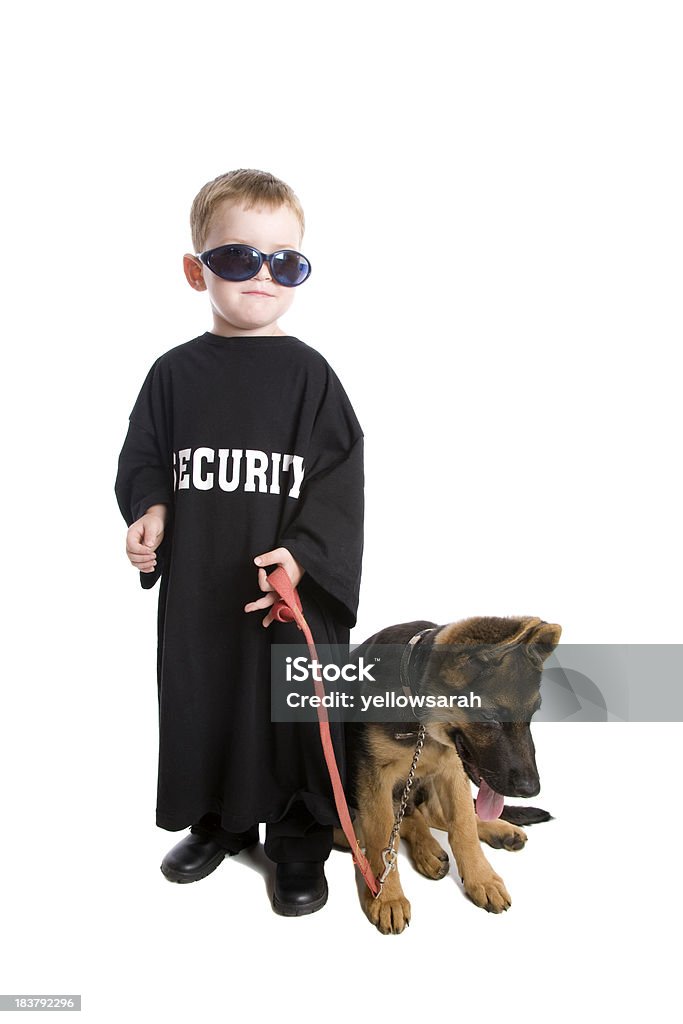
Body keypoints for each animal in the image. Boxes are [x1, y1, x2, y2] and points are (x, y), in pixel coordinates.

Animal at [339, 614, 565, 937]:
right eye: (489, 718)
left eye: (533, 714)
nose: (531, 789)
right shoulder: (374, 777)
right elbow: (383, 838)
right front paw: (387, 898)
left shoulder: (452, 767)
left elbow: (463, 825)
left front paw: (481, 878)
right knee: (396, 822)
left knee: (430, 814)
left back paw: (496, 829)